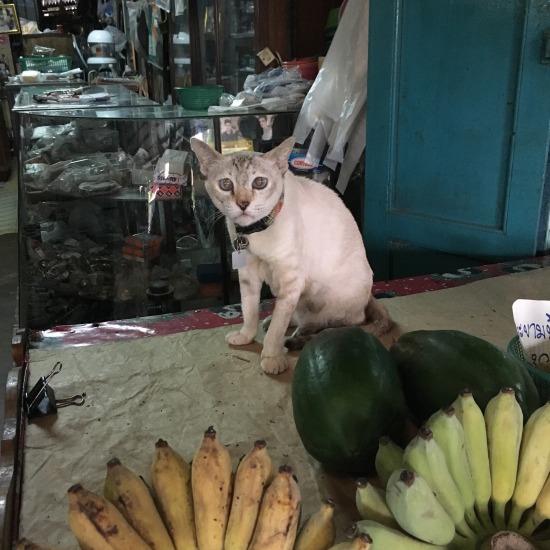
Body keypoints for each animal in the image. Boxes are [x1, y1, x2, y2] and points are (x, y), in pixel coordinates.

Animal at [192, 136, 394, 376]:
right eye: (226, 185)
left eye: (259, 183)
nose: (243, 204)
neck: (255, 232)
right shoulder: (248, 273)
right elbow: (249, 310)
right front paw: (246, 336)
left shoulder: (291, 278)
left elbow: (277, 327)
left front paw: (272, 357)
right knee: (294, 315)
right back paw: (277, 323)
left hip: (327, 299)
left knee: (341, 320)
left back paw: (301, 333)